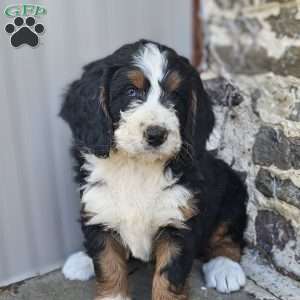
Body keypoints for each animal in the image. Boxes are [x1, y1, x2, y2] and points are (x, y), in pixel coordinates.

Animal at [59, 40, 247, 300]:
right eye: (131, 92)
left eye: (176, 95)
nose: (157, 134)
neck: (136, 166)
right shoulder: (98, 207)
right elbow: (108, 265)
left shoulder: (179, 222)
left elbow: (168, 277)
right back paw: (82, 260)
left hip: (232, 190)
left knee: (228, 234)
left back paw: (225, 268)